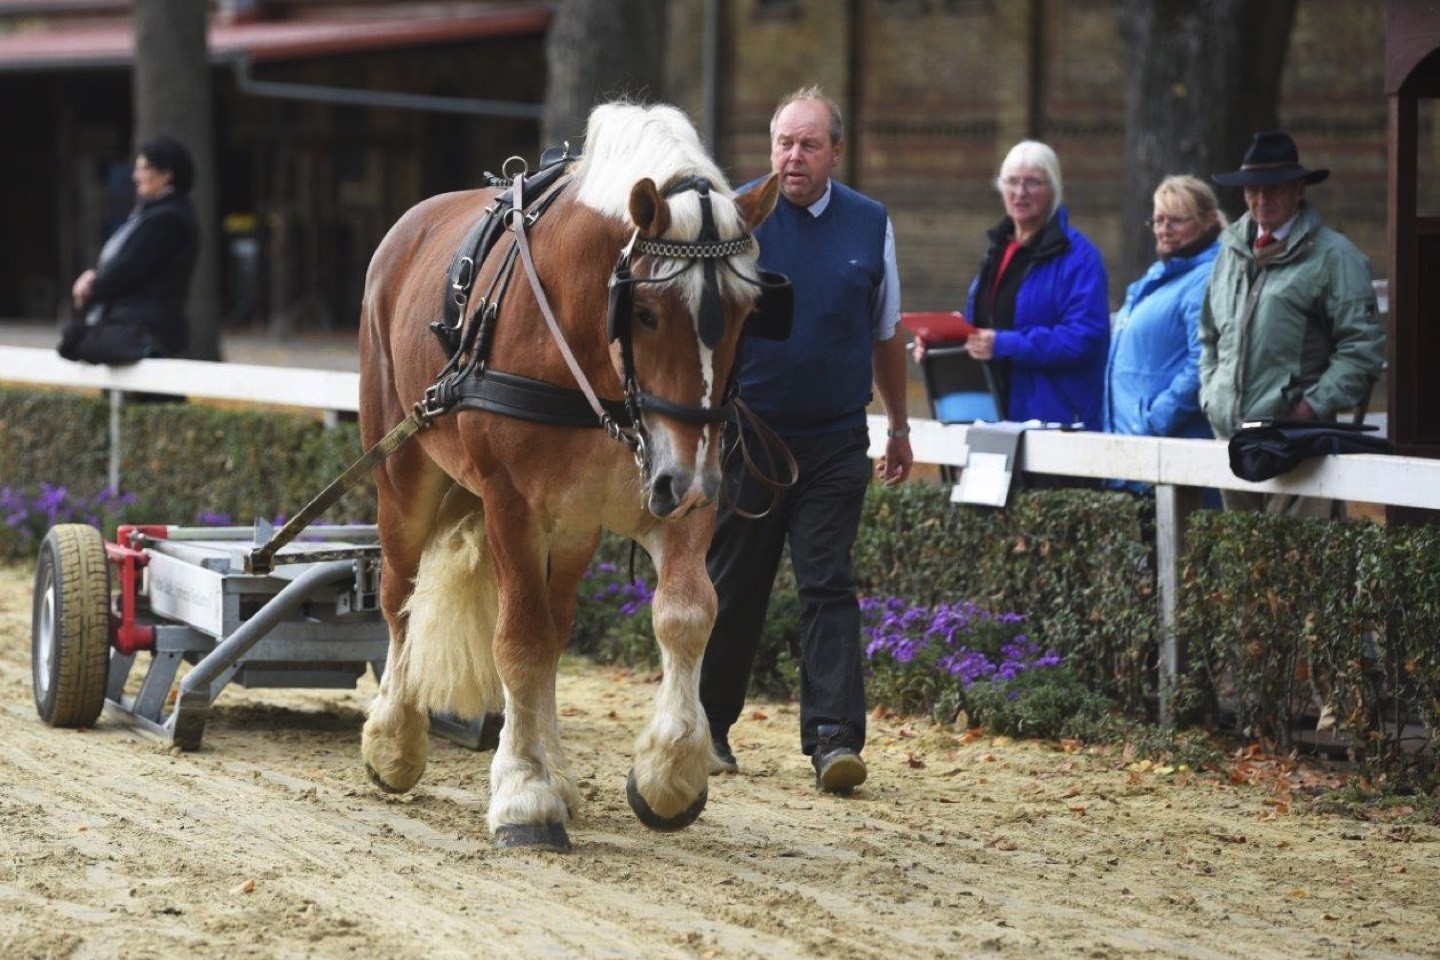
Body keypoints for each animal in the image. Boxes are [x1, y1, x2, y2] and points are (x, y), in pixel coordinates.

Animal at [360, 105, 789, 852]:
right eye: (647, 312)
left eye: (746, 313)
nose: (690, 480)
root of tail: (407, 229)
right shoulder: (511, 505)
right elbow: (519, 642)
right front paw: (523, 796)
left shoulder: (671, 494)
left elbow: (686, 614)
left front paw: (668, 772)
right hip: (404, 476)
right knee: (399, 596)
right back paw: (395, 740)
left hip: (578, 526)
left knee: (555, 628)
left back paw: (556, 770)